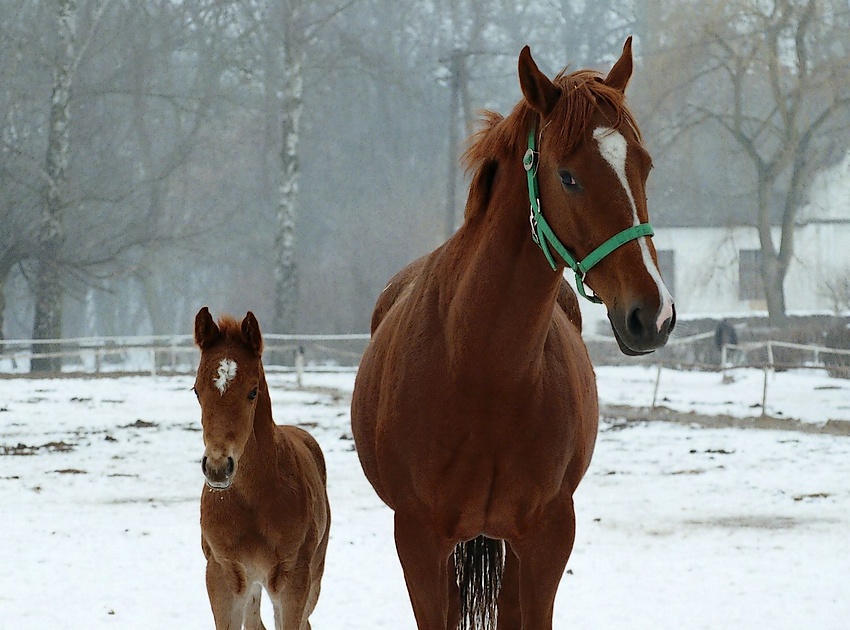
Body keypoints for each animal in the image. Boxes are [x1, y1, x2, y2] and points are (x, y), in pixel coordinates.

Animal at [194, 310, 330, 630]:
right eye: (196, 391)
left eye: (252, 391)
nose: (218, 468)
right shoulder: (222, 575)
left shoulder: (293, 579)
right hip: (252, 584)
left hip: (314, 574)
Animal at [348, 37, 672, 628]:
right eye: (568, 175)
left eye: (644, 164)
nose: (653, 315)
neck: (482, 370)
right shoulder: (420, 543)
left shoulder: (547, 539)